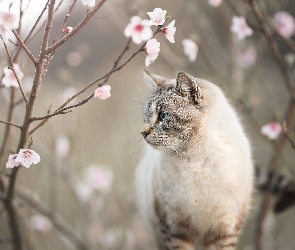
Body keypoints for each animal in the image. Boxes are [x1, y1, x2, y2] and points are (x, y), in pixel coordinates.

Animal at [136, 71, 254, 250]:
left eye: (163, 116)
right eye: (146, 117)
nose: (143, 133)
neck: (195, 159)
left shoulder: (224, 230)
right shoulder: (175, 228)